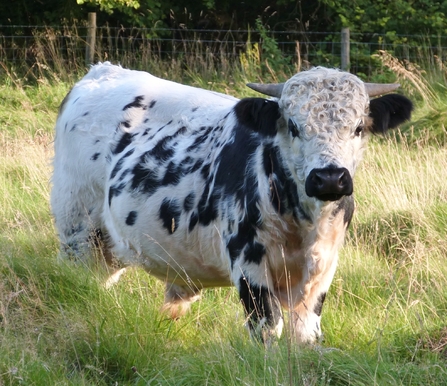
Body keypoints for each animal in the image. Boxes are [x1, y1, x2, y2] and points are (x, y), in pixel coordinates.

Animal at [51, 63, 412, 344]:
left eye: (358, 127)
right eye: (293, 127)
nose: (329, 178)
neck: (306, 224)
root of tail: (101, 72)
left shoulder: (323, 269)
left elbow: (305, 333)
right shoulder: (248, 262)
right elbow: (268, 328)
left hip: (107, 248)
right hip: (77, 231)